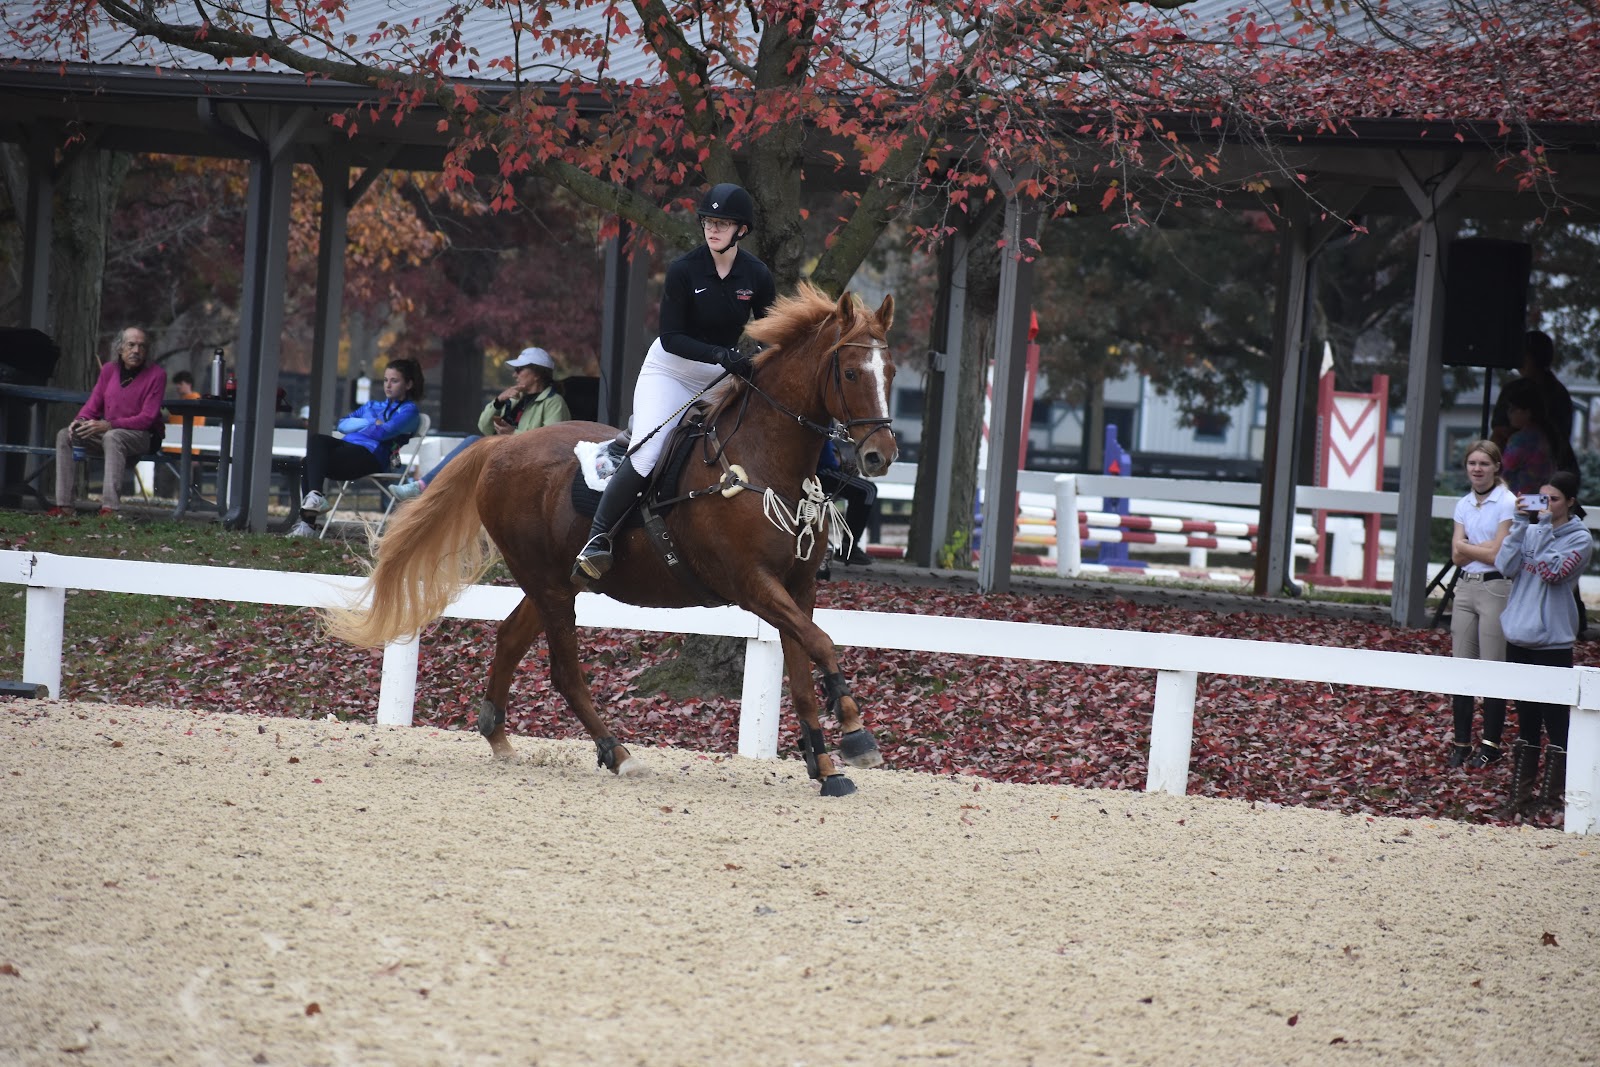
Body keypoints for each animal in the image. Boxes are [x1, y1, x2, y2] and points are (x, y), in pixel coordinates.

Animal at [324, 283, 902, 793]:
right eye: (851, 372)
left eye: (891, 371)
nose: (881, 456)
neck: (764, 463)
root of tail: (500, 448)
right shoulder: (751, 584)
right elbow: (821, 643)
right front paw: (856, 734)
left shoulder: (797, 588)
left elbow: (803, 668)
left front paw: (824, 765)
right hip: (550, 585)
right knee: (564, 671)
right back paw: (616, 752)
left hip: (557, 581)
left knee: (510, 637)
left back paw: (500, 737)